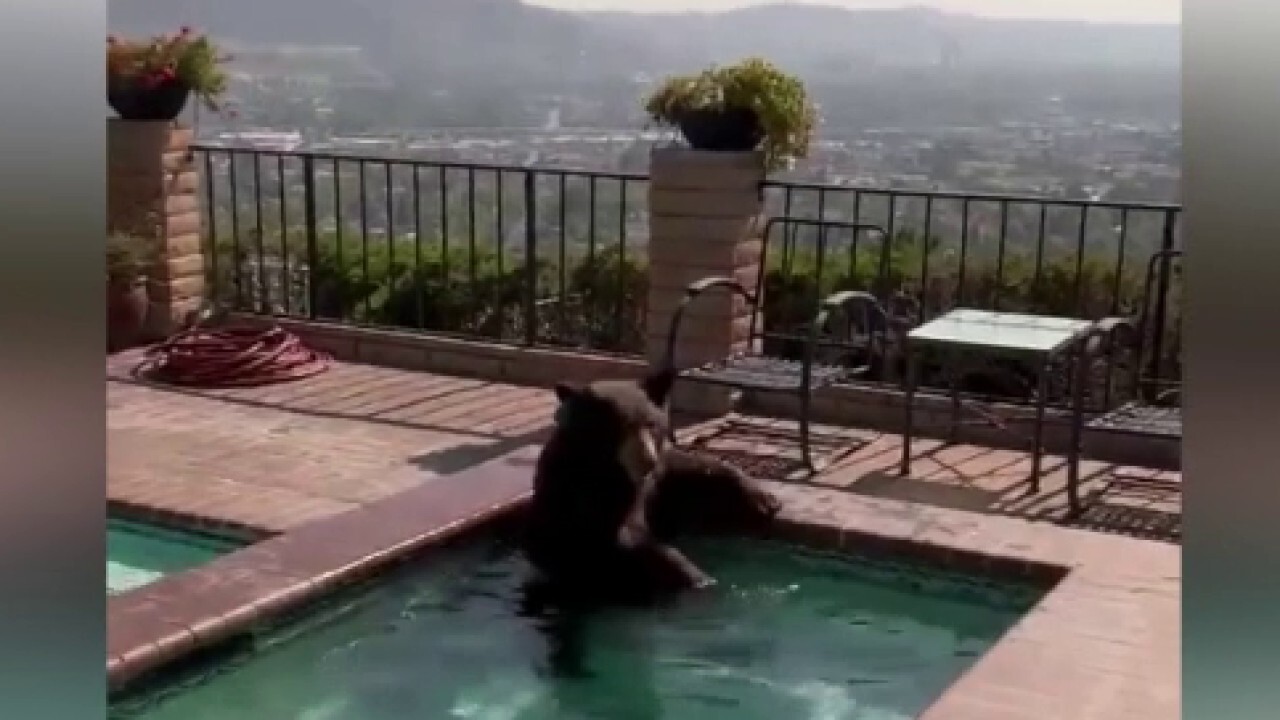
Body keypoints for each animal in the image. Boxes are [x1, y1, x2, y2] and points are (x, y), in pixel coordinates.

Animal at [519, 363, 778, 599]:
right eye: (619, 427)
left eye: (651, 424)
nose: (647, 461)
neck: (616, 471)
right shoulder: (583, 488)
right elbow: (626, 535)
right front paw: (697, 578)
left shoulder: (657, 477)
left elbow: (685, 467)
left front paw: (763, 499)